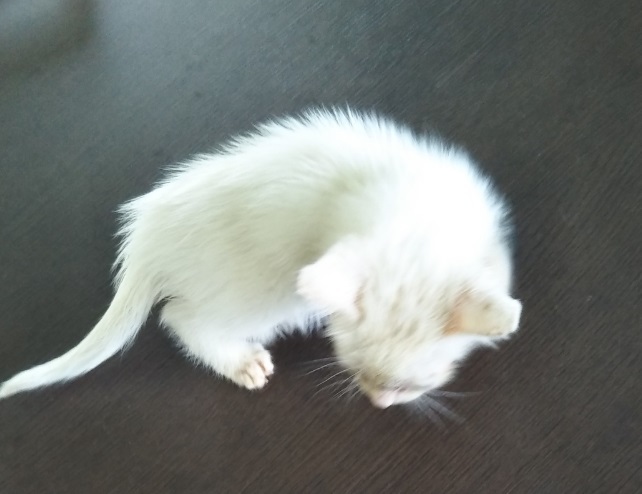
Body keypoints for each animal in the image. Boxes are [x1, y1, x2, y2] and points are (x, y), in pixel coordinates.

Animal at [0, 109, 522, 408]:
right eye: (355, 372)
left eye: (413, 385)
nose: (378, 404)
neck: (424, 223)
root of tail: (148, 234)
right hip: (262, 298)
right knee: (180, 317)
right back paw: (239, 361)